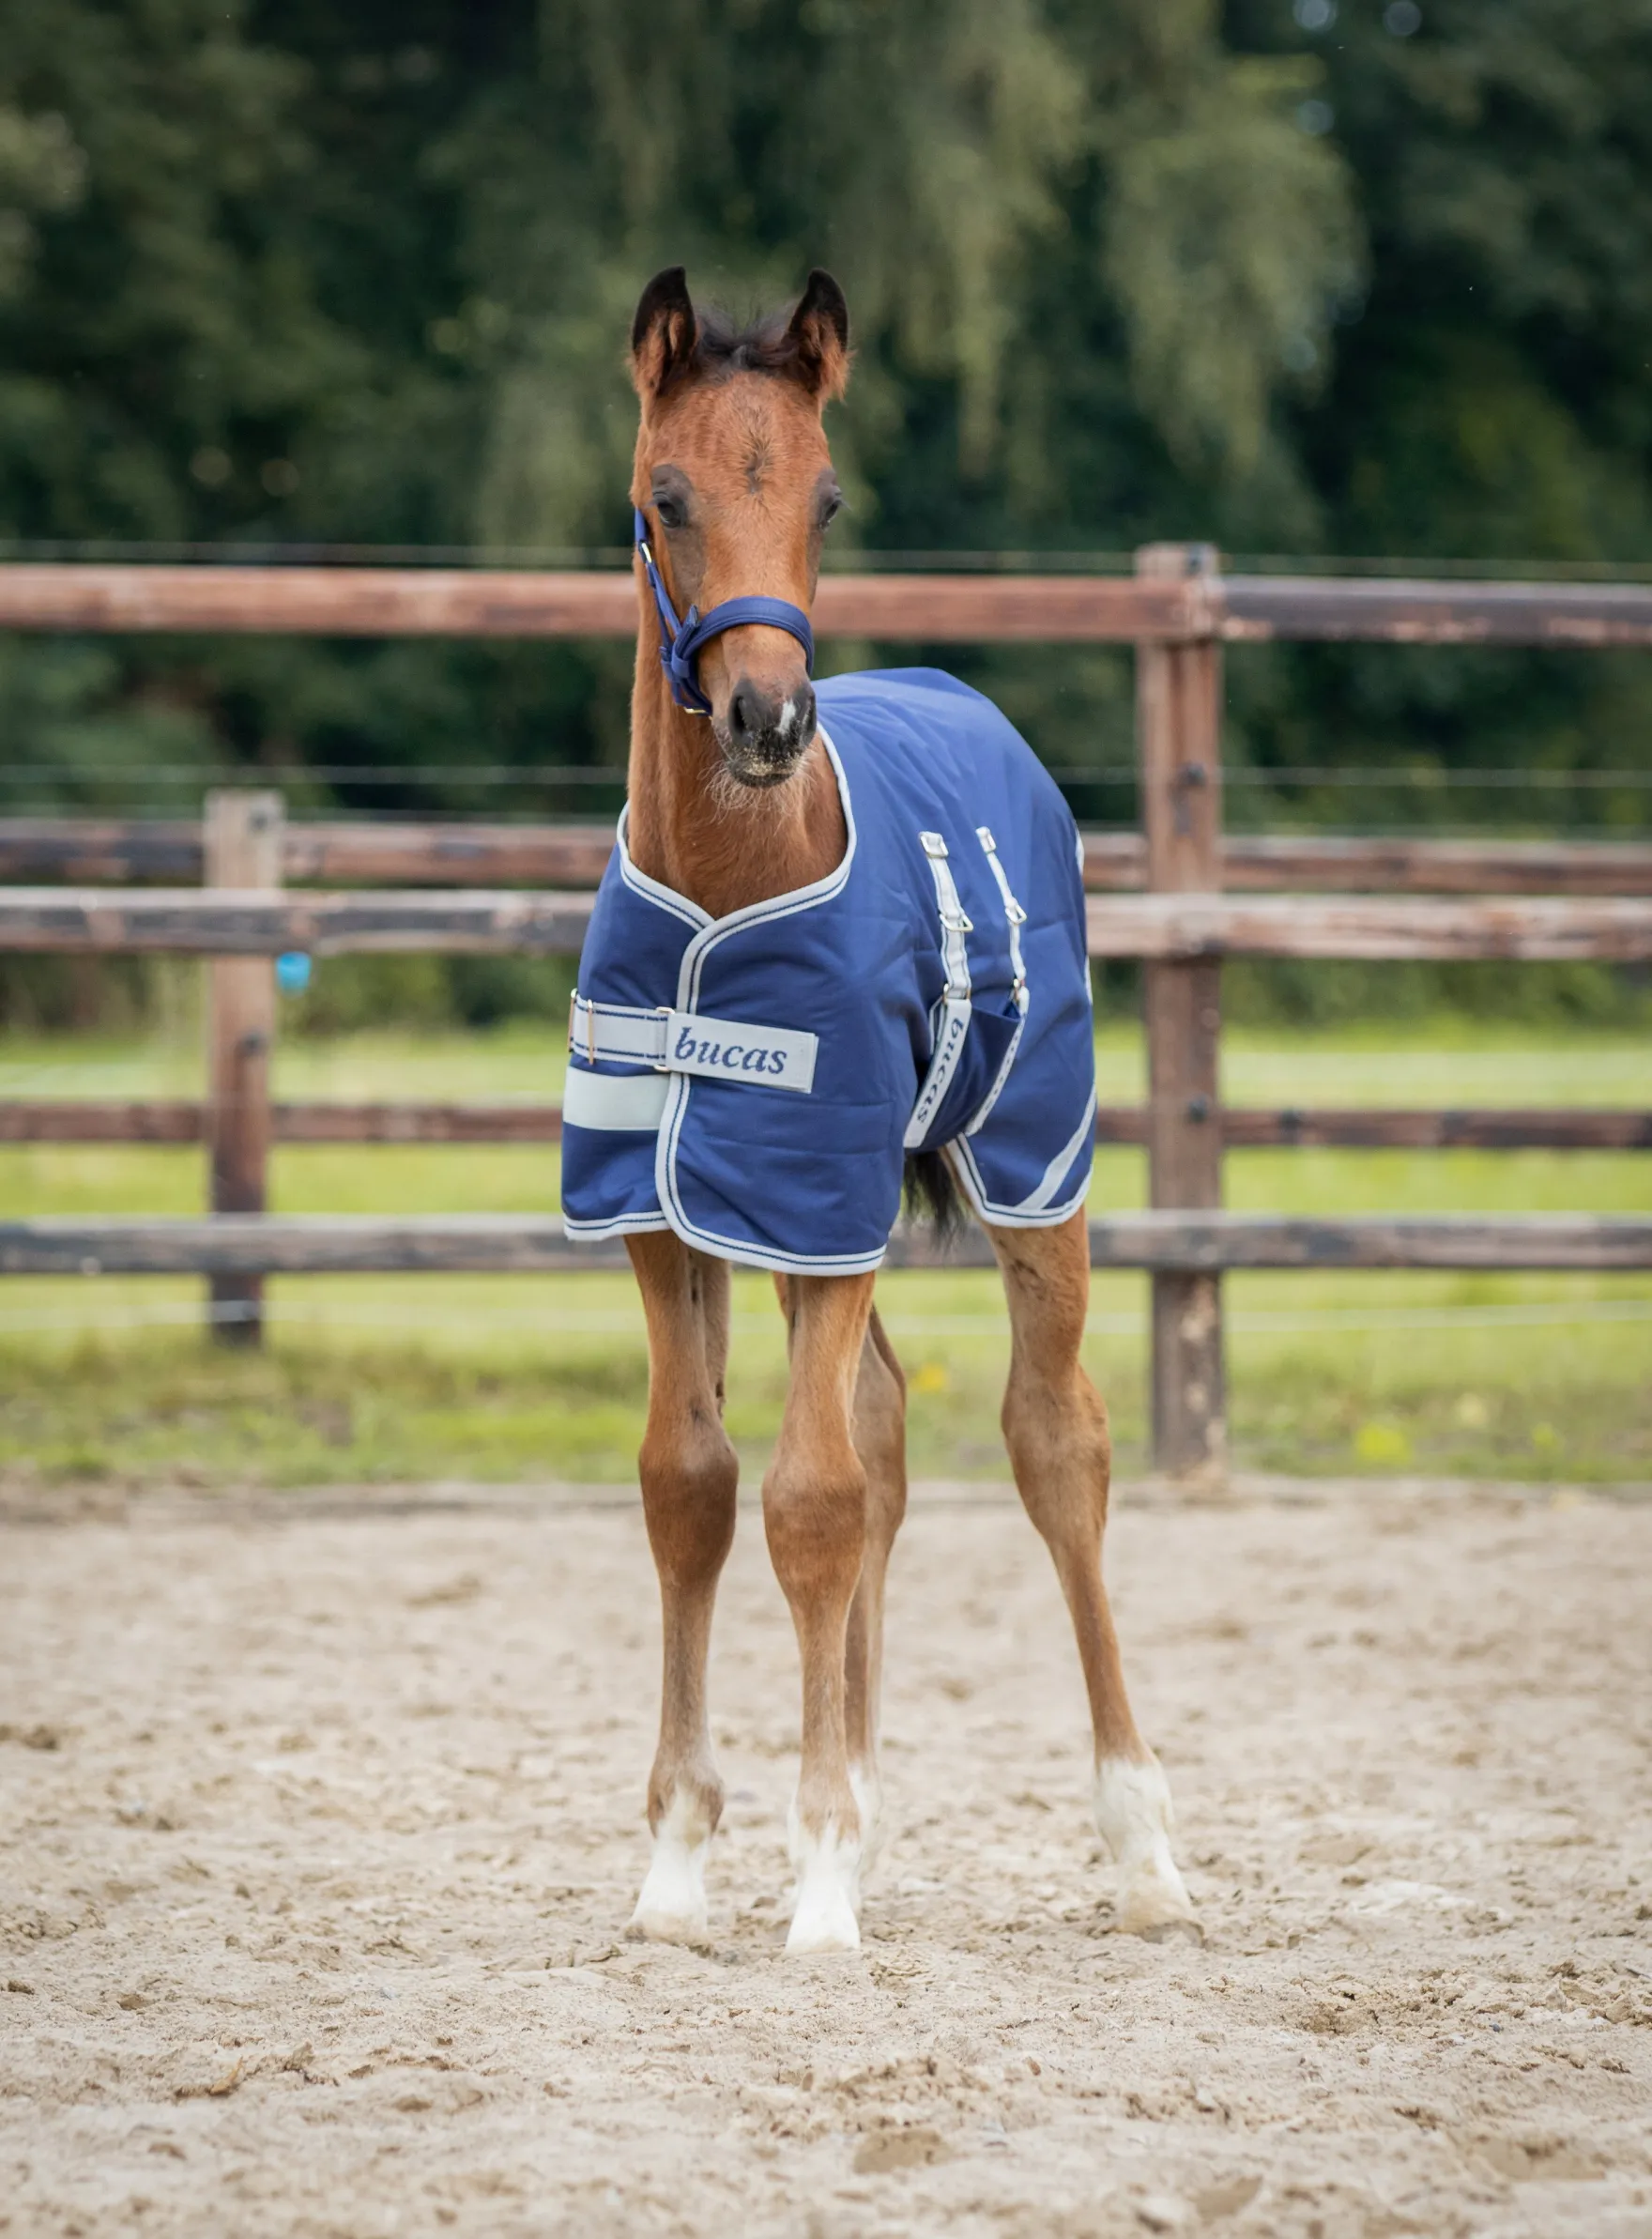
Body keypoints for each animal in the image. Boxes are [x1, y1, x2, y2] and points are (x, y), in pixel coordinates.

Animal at [561, 265, 1197, 1955]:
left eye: (827, 496)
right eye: (668, 494)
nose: (771, 720)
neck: (731, 891)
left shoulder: (824, 1194)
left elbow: (814, 1499)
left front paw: (822, 1886)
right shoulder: (675, 1212)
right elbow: (695, 1487)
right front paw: (684, 1867)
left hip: (1034, 1168)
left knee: (1055, 1444)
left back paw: (1143, 1848)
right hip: (802, 1229)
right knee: (892, 1423)